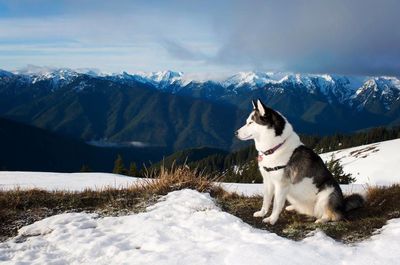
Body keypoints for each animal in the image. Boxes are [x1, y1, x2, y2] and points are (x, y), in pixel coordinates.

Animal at [234, 98, 362, 223]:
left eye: (251, 122)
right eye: (247, 122)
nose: (235, 133)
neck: (276, 147)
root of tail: (342, 206)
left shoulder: (281, 185)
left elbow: (276, 205)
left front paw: (272, 219)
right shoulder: (268, 181)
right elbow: (266, 201)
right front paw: (262, 213)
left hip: (328, 193)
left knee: (334, 215)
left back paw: (322, 219)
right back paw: (293, 207)